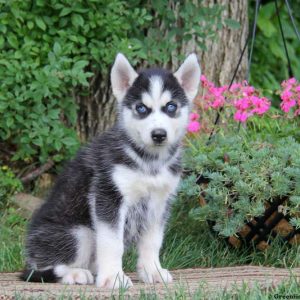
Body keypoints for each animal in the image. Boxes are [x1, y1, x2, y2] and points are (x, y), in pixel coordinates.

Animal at [20, 53, 199, 288]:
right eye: (141, 108)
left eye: (171, 107)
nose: (159, 134)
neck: (149, 163)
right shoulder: (109, 196)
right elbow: (112, 243)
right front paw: (114, 277)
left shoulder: (159, 202)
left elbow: (152, 241)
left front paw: (152, 271)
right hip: (79, 232)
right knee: (39, 270)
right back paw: (75, 274)